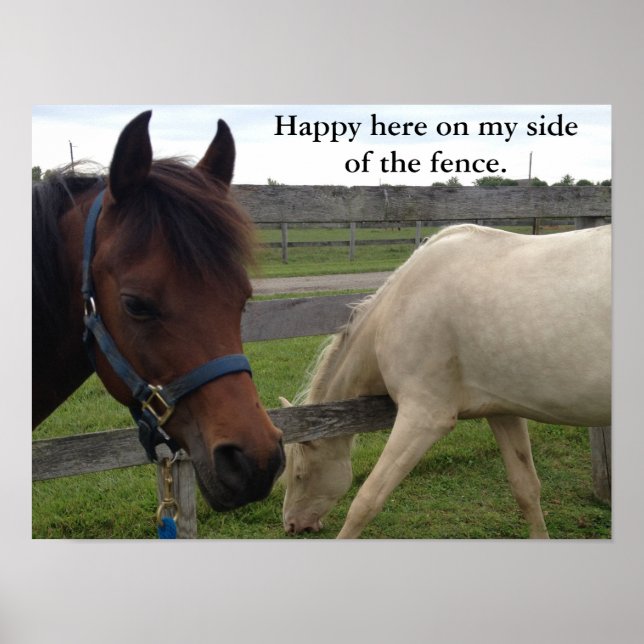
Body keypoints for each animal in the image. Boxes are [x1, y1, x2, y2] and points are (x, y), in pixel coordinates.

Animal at [281, 223, 611, 538]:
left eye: (298, 474)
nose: (292, 525)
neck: (399, 307)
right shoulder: (502, 411)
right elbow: (527, 490)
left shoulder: (424, 418)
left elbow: (365, 502)